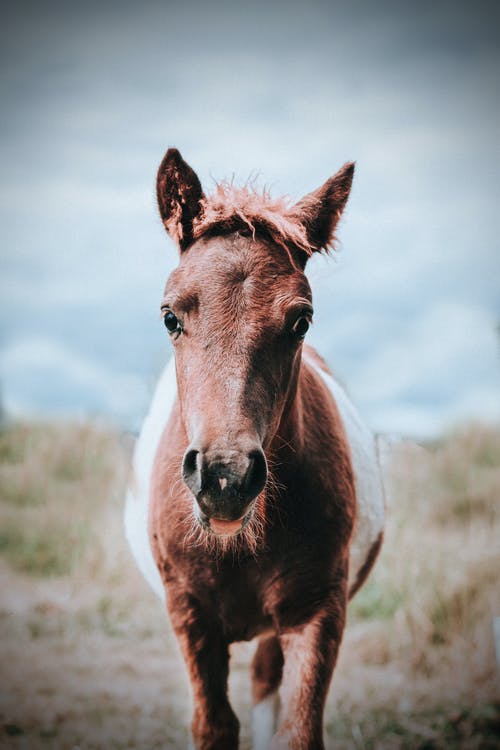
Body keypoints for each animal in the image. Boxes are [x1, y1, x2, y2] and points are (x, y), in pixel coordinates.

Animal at [124, 148, 382, 750]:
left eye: (302, 320)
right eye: (170, 317)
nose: (225, 477)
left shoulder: (317, 614)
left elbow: (297, 729)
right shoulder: (190, 615)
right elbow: (214, 726)